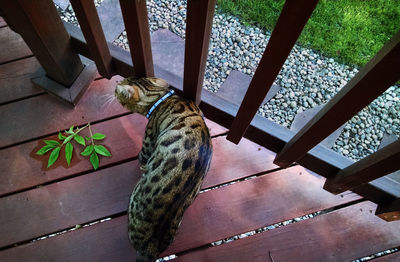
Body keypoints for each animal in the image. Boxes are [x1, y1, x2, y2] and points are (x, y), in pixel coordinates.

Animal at [114, 77, 212, 260]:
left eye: (118, 91)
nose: (114, 87)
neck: (162, 98)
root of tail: (150, 247)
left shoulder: (148, 142)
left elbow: (142, 157)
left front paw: (141, 165)